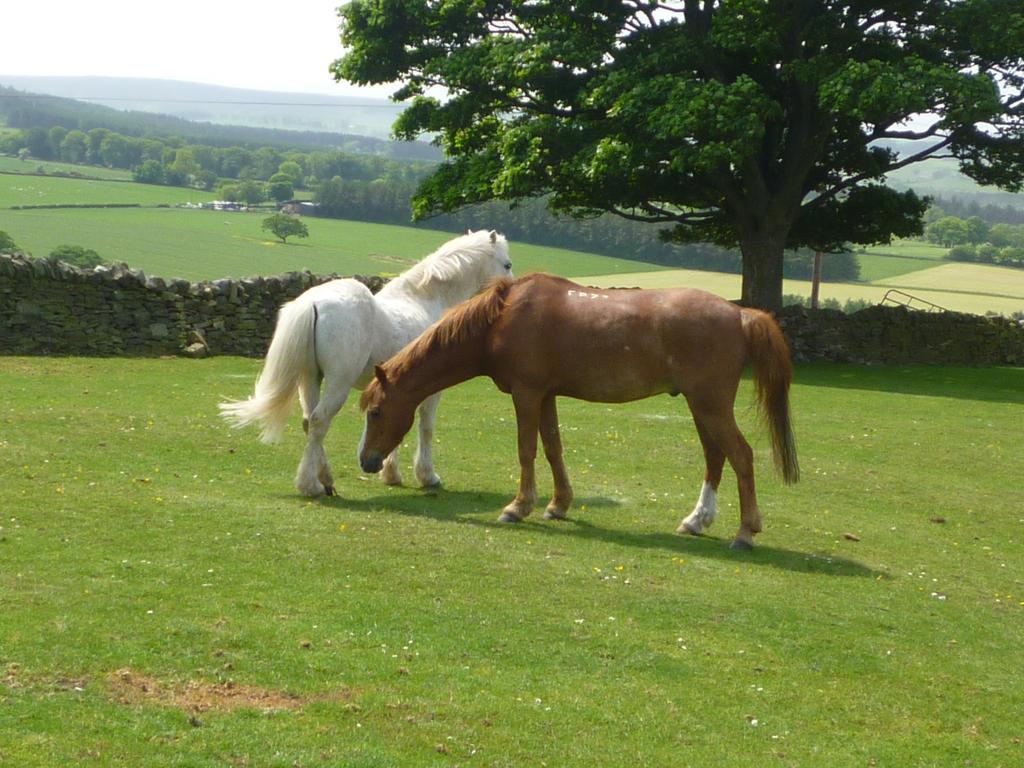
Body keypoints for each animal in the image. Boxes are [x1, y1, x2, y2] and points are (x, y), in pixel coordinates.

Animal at [221, 228, 516, 495]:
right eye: (507, 264)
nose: (512, 293)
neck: (428, 298)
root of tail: (312, 303)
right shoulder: (431, 392)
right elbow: (426, 428)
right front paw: (427, 476)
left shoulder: (399, 390)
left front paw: (391, 474)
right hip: (337, 384)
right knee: (318, 422)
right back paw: (311, 486)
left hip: (310, 378)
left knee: (309, 423)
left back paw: (325, 479)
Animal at [360, 274, 798, 548]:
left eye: (376, 412)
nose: (366, 461)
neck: (501, 319)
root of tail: (740, 314)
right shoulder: (546, 395)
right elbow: (553, 448)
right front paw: (557, 505)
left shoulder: (527, 393)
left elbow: (527, 450)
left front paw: (518, 507)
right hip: (701, 406)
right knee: (715, 458)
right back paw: (696, 520)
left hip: (710, 405)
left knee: (740, 456)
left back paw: (745, 532)